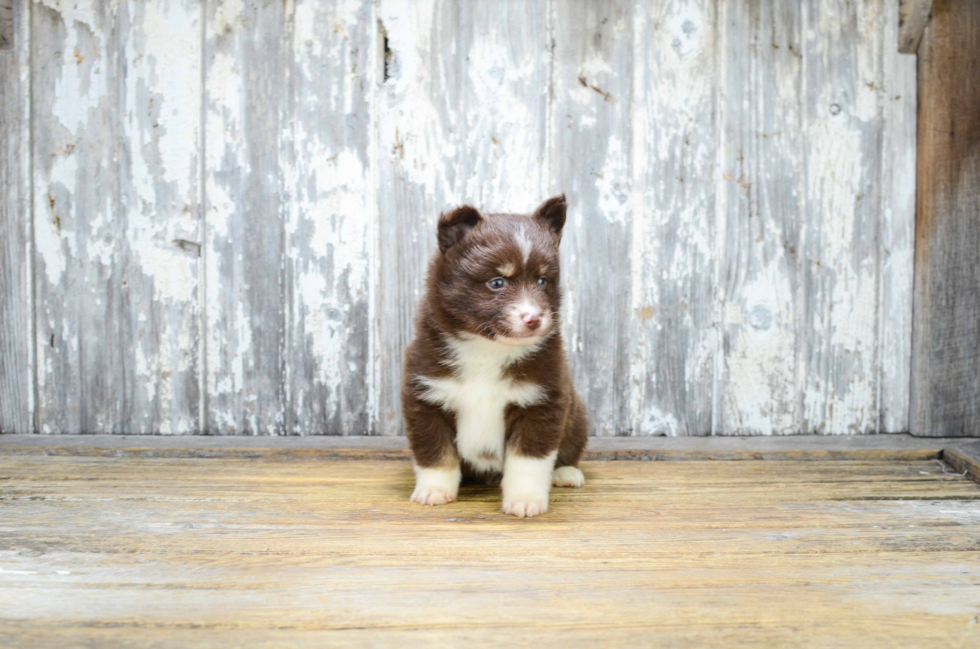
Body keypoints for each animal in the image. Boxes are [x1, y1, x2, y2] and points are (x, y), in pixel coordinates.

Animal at [400, 192, 584, 516]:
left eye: (542, 281)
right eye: (497, 282)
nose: (534, 319)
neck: (487, 349)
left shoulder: (542, 401)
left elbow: (529, 460)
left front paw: (525, 499)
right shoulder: (426, 398)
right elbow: (435, 453)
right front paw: (434, 490)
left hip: (578, 417)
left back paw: (566, 472)